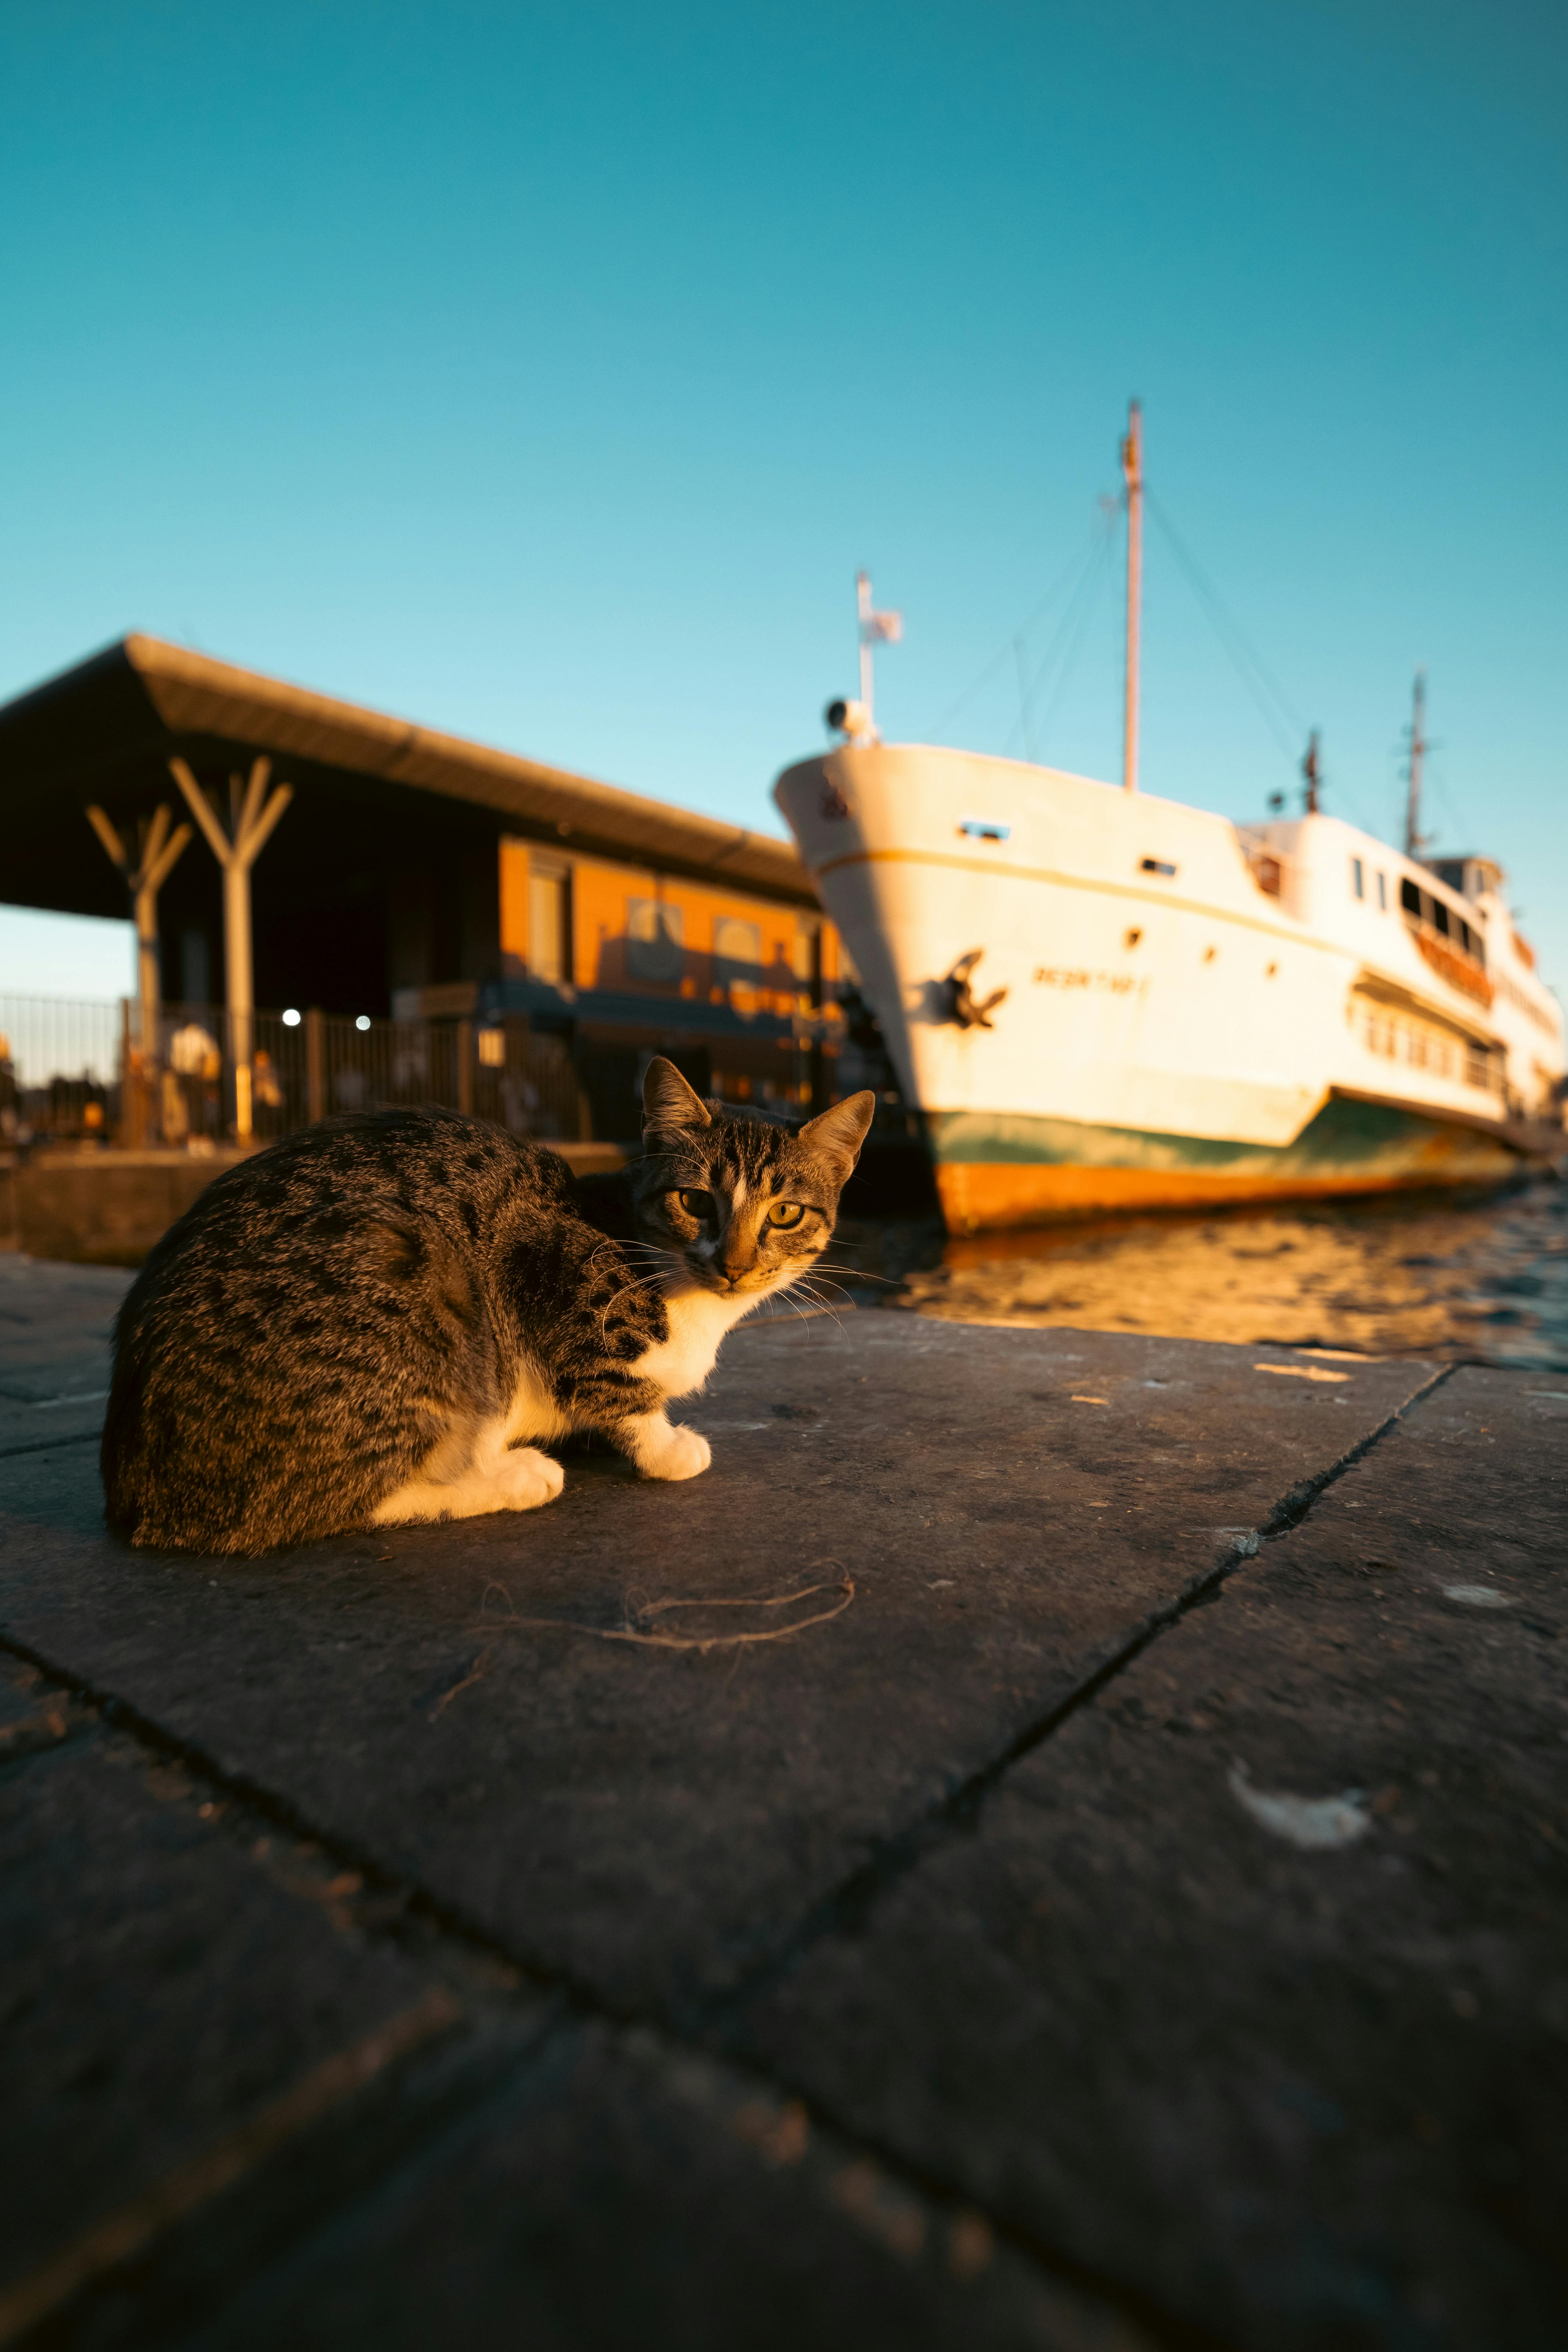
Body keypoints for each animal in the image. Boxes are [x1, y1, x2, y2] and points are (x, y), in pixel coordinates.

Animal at [104, 1058, 879, 1552]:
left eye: (784, 1213)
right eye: (694, 1201)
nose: (735, 1264)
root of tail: (140, 1496)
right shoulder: (554, 1275)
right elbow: (616, 1391)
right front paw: (665, 1447)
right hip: (421, 1300)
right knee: (323, 1503)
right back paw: (512, 1476)